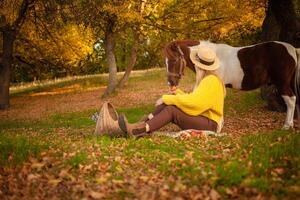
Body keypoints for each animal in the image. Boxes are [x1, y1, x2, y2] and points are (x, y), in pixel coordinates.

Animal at [163, 39, 300, 130]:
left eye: (174, 60)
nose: (171, 83)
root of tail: (292, 48)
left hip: (282, 83)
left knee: (291, 100)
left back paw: (286, 126)